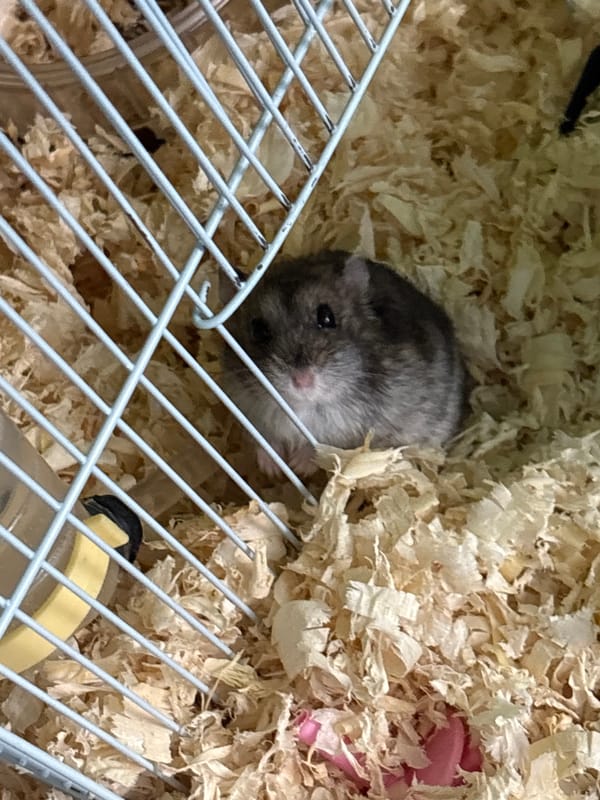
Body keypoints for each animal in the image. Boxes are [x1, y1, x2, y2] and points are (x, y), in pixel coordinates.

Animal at [221, 250, 469, 476]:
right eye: (258, 330)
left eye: (327, 317)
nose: (302, 380)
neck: (301, 407)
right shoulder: (247, 410)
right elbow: (265, 439)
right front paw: (271, 468)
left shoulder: (358, 431)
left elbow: (326, 447)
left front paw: (299, 466)